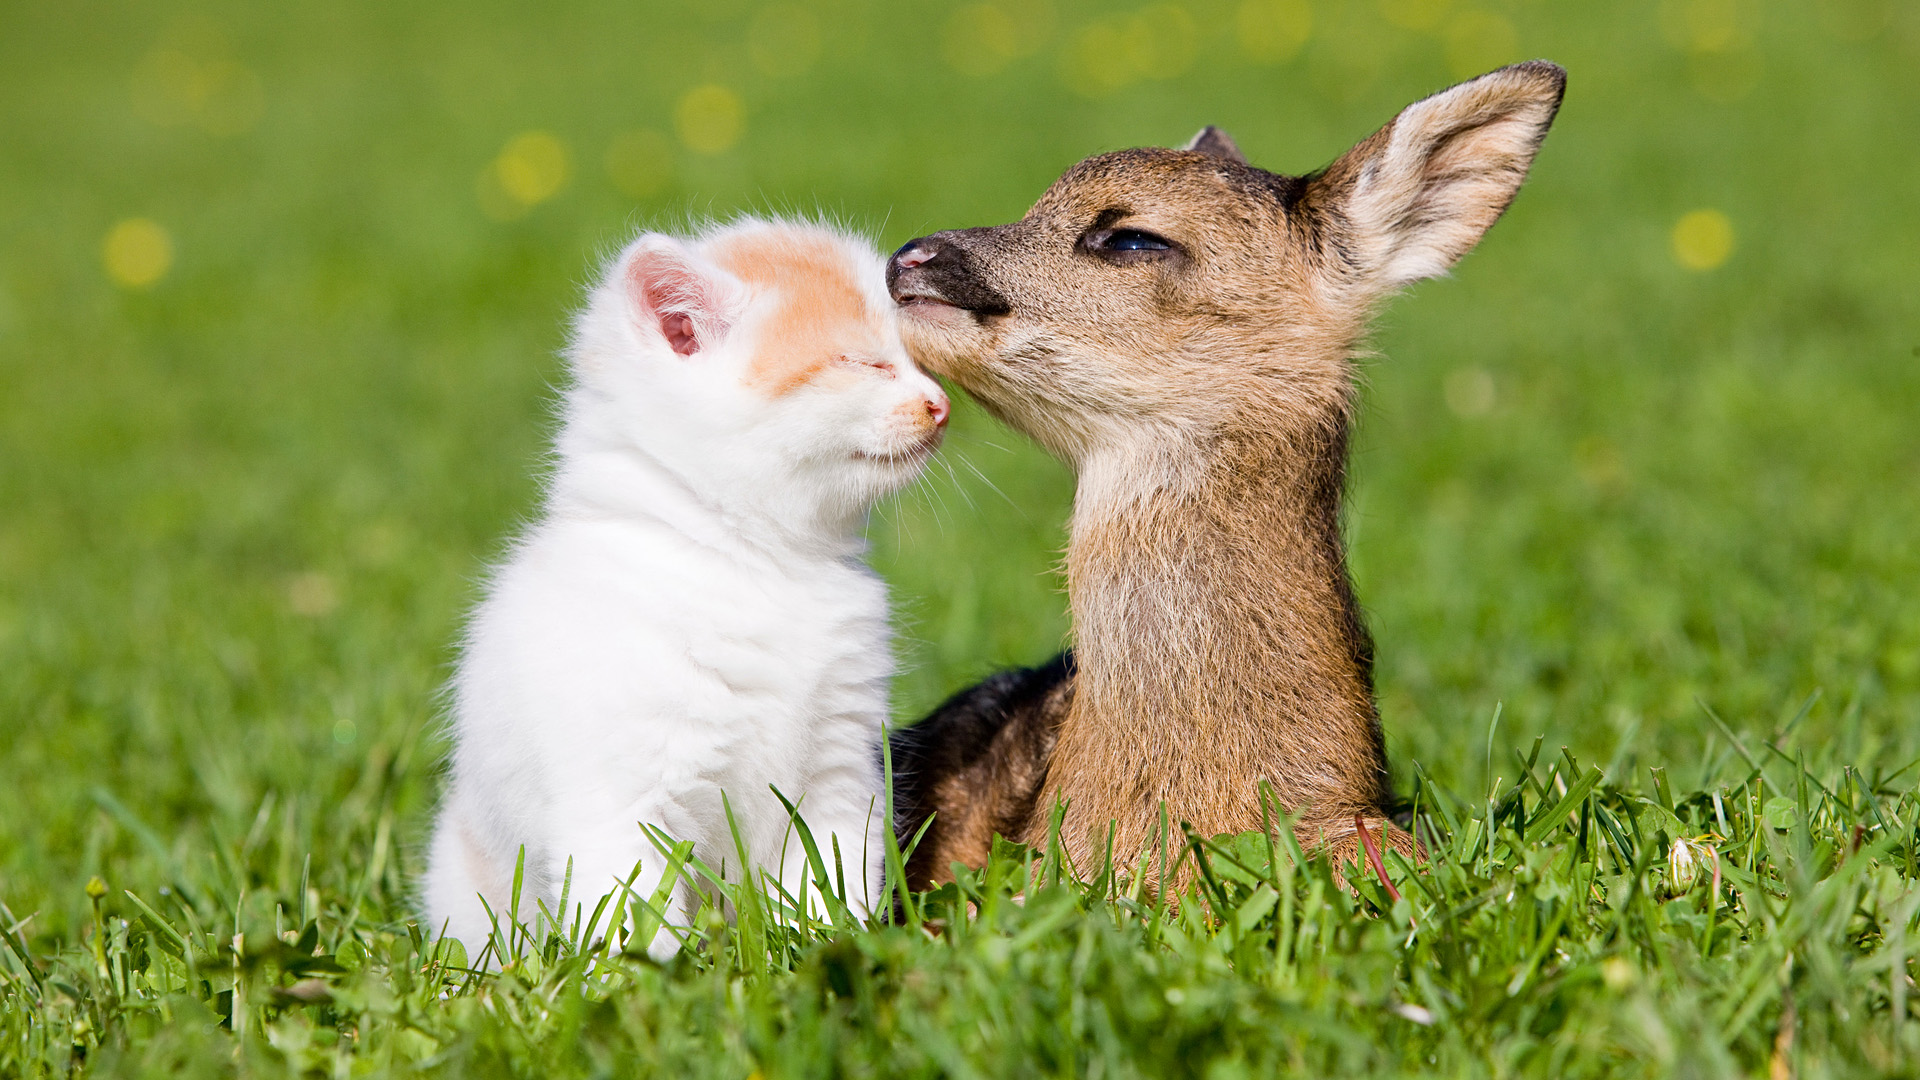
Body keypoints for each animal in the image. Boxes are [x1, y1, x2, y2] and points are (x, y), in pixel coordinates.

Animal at [428, 214, 952, 953]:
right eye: (863, 363)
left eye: (920, 361)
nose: (940, 403)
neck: (761, 563)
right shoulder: (622, 801)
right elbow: (631, 923)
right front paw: (647, 981)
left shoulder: (838, 774)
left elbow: (827, 884)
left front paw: (831, 950)